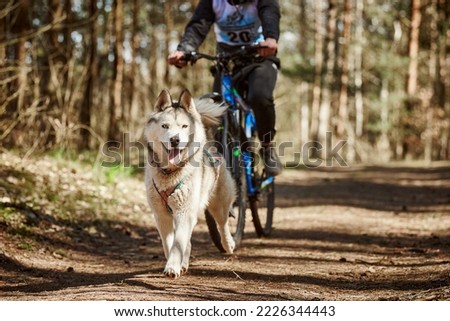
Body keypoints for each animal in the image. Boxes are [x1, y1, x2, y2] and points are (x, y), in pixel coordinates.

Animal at [145, 88, 237, 278]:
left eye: (184, 126)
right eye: (165, 126)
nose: (175, 140)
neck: (170, 172)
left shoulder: (185, 211)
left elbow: (178, 243)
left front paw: (172, 267)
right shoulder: (161, 214)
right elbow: (170, 243)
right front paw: (174, 264)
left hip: (218, 204)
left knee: (223, 223)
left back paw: (228, 244)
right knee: (188, 241)